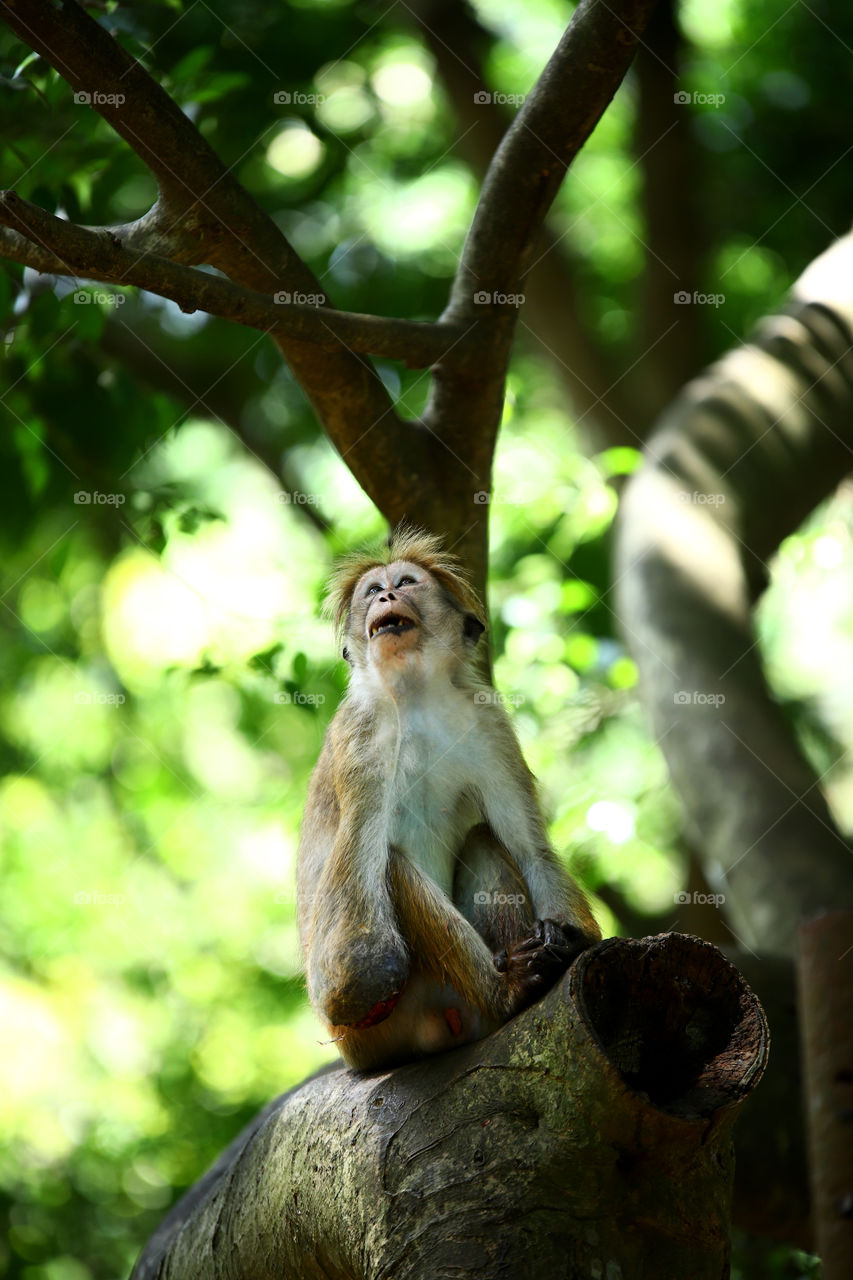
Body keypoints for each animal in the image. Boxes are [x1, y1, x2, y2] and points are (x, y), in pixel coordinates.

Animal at [296, 525, 600, 1070]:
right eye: (373, 591)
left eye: (405, 583)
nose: (387, 597)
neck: (414, 697)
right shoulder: (359, 738)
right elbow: (353, 973)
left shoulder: (490, 723)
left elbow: (530, 849)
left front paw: (569, 938)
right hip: (372, 1034)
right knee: (390, 868)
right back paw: (506, 992)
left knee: (483, 839)